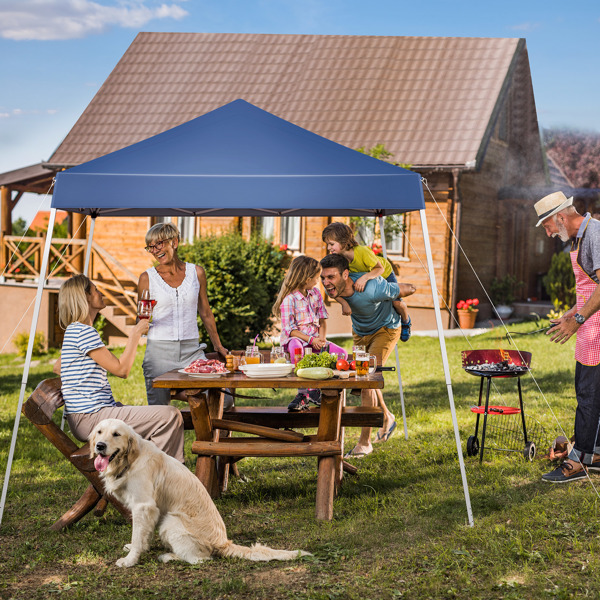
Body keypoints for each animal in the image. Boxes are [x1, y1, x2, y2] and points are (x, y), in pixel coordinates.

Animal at [92, 418, 314, 568]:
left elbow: (138, 536)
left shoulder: (143, 506)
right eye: (99, 432)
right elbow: (141, 536)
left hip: (171, 521)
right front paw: (132, 548)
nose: (99, 446)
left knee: (200, 559)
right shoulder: (143, 510)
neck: (129, 460)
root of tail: (223, 542)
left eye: (116, 434)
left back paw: (169, 556)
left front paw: (130, 560)